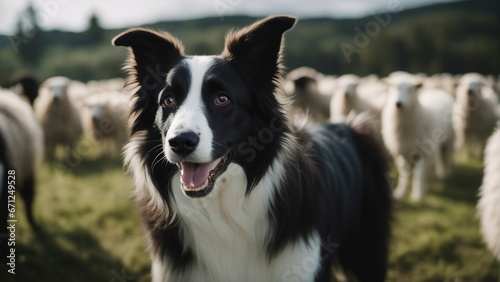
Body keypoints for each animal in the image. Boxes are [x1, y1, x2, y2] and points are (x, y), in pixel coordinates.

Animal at [380, 72, 456, 200]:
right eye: (392, 88)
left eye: (410, 89)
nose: (398, 103)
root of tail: (436, 91)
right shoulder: (402, 152)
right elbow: (404, 174)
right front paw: (400, 192)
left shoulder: (423, 153)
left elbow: (418, 174)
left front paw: (418, 195)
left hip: (448, 141)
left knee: (445, 157)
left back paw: (444, 174)